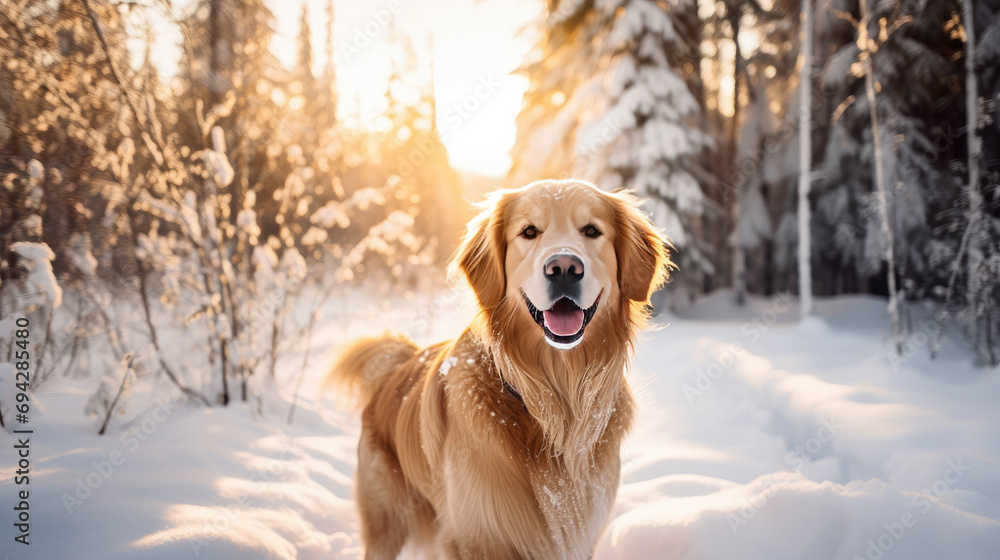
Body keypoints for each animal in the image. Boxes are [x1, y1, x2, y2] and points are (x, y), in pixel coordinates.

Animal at [328, 180, 672, 560]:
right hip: (386, 518)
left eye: (592, 231)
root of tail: (399, 364)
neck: (554, 403)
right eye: (529, 232)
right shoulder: (475, 536)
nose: (564, 267)